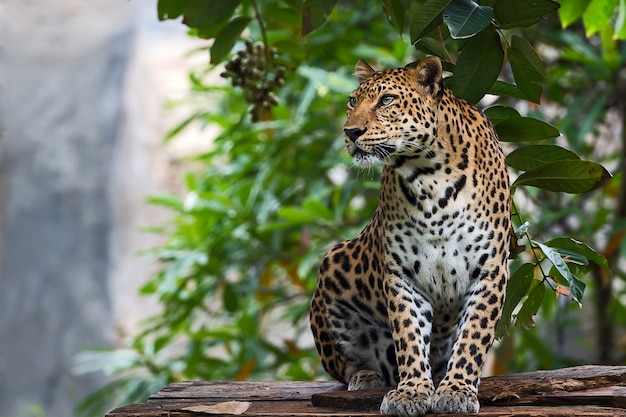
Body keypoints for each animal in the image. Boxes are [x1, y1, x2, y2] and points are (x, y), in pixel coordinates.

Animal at [308, 56, 508, 416]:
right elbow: (409, 335)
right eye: (352, 101)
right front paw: (411, 392)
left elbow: (473, 335)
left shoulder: (490, 269)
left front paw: (457, 390)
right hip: (332, 266)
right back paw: (366, 376)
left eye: (387, 100)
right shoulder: (402, 273)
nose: (351, 132)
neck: (430, 176)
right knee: (351, 365)